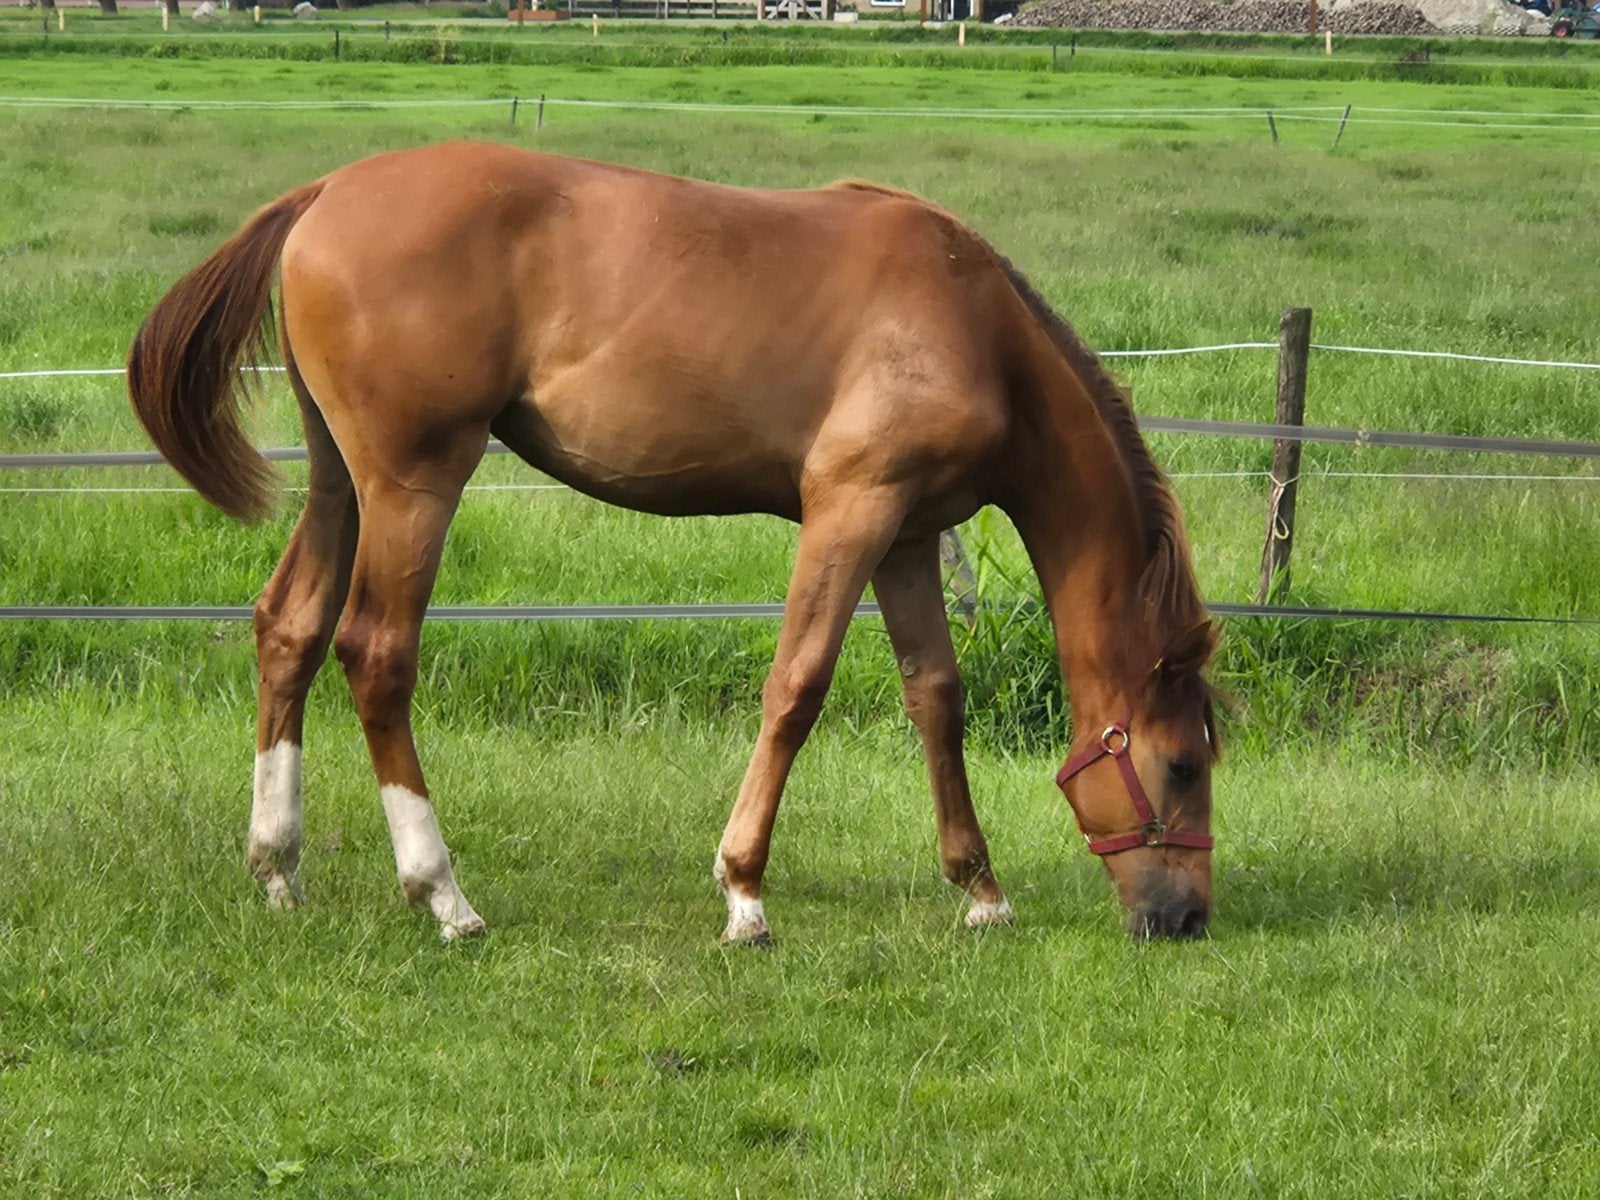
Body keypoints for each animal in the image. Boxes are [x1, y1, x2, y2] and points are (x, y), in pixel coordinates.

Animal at [127, 141, 1221, 945]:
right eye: (1180, 765)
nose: (1185, 917)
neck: (971, 323)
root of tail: (323, 193)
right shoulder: (851, 509)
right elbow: (797, 687)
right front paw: (743, 892)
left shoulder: (908, 536)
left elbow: (935, 699)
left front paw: (980, 889)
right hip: (413, 484)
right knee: (375, 653)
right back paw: (442, 894)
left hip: (338, 482)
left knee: (291, 628)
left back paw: (277, 866)